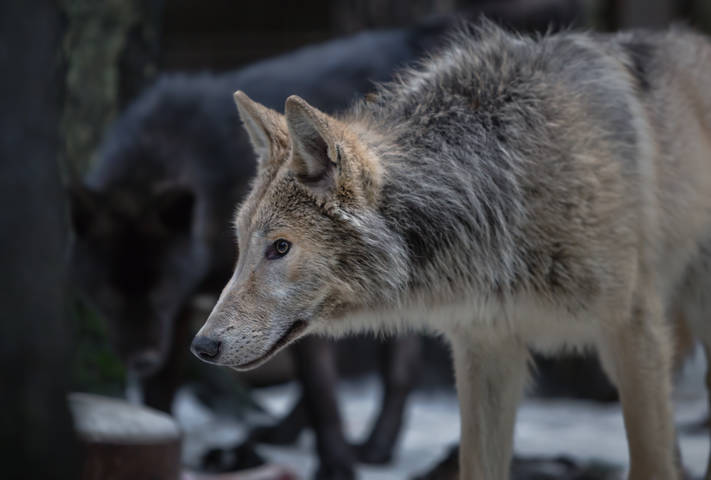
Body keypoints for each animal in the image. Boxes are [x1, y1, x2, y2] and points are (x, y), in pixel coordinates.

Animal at [192, 22, 711, 480]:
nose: (202, 346)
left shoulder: (632, 328)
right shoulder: (486, 347)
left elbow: (650, 464)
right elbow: (477, 467)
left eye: (280, 247)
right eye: (242, 245)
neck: (507, 190)